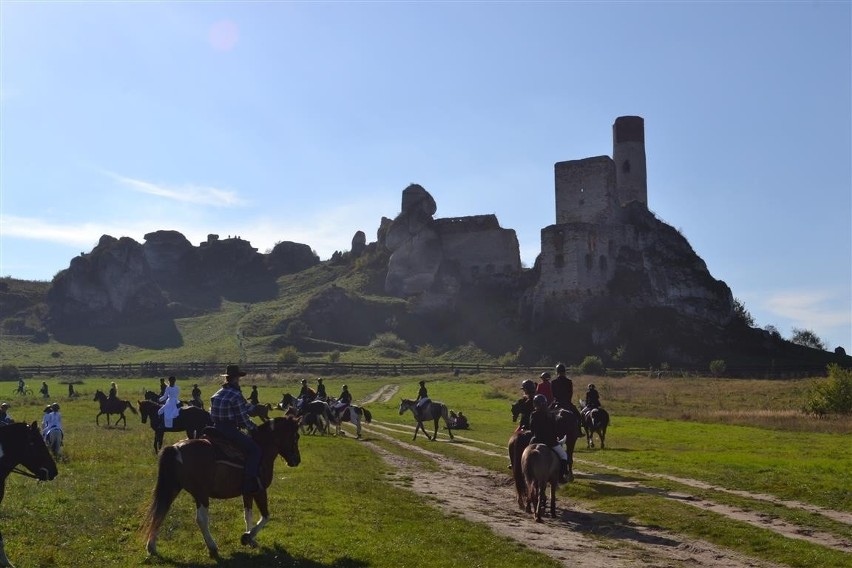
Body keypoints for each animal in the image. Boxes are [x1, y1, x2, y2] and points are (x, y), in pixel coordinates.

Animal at [146, 414, 302, 560]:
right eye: (296, 437)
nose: (297, 460)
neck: (262, 449)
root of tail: (175, 448)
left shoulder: (247, 492)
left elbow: (248, 515)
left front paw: (251, 540)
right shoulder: (260, 490)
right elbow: (266, 517)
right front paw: (247, 537)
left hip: (173, 488)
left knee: (160, 512)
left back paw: (151, 547)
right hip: (201, 494)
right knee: (201, 520)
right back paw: (213, 547)